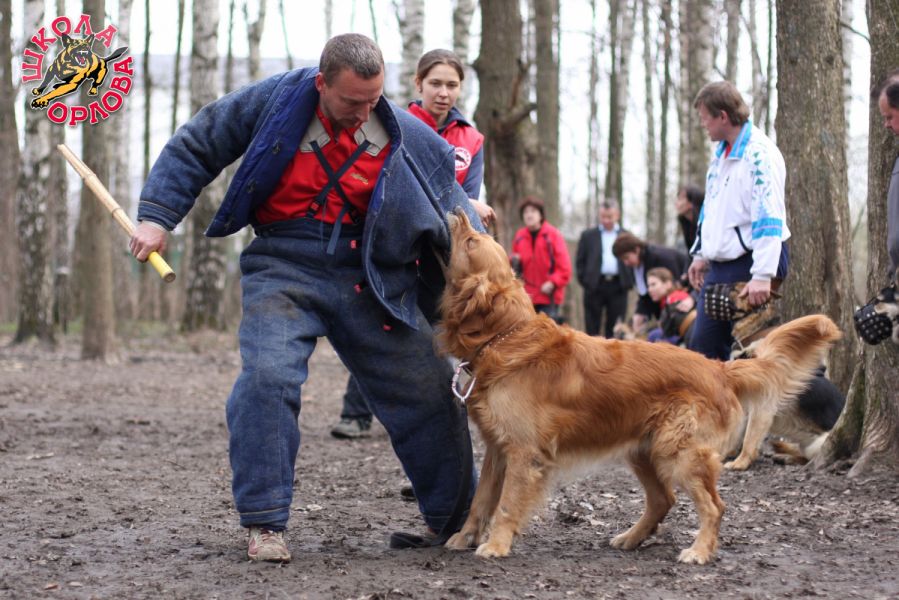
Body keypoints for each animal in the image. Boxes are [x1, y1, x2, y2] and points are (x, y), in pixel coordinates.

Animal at [438, 210, 841, 564]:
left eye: (472, 241)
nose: (457, 209)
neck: (506, 335)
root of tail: (719, 368)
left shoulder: (524, 452)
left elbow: (506, 503)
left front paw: (496, 545)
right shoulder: (496, 448)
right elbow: (480, 500)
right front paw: (463, 537)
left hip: (681, 451)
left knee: (713, 506)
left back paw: (699, 551)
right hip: (646, 450)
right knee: (663, 500)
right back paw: (632, 537)